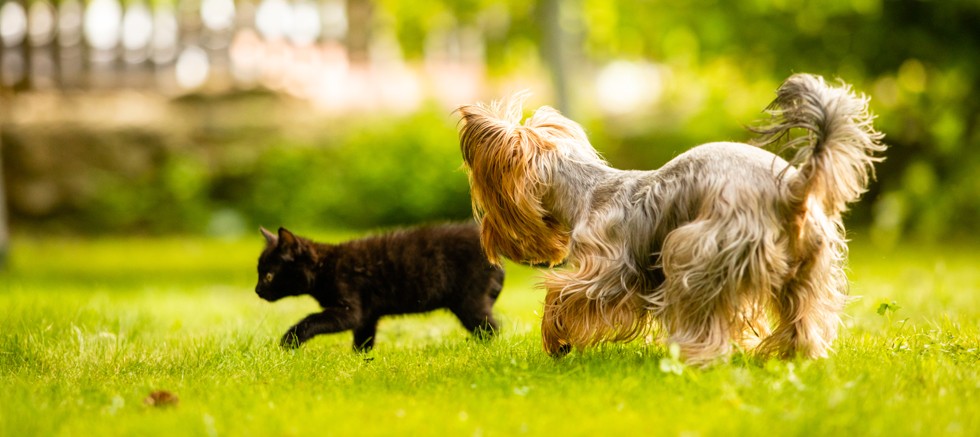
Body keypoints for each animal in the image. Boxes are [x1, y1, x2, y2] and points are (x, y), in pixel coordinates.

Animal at [253, 223, 506, 350]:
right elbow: (363, 340)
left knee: (491, 328)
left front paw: (289, 340)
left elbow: (312, 320)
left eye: (268, 276)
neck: (326, 266)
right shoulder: (367, 316)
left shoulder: (350, 310)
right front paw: (361, 362)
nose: (257, 290)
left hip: (469, 301)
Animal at [460, 76, 888, 364]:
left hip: (694, 249)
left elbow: (561, 294)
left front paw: (556, 341)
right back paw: (791, 355)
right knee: (802, 316)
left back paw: (690, 353)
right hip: (805, 267)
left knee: (701, 315)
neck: (585, 190)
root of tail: (793, 189)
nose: (488, 237)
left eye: (493, 208)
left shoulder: (608, 270)